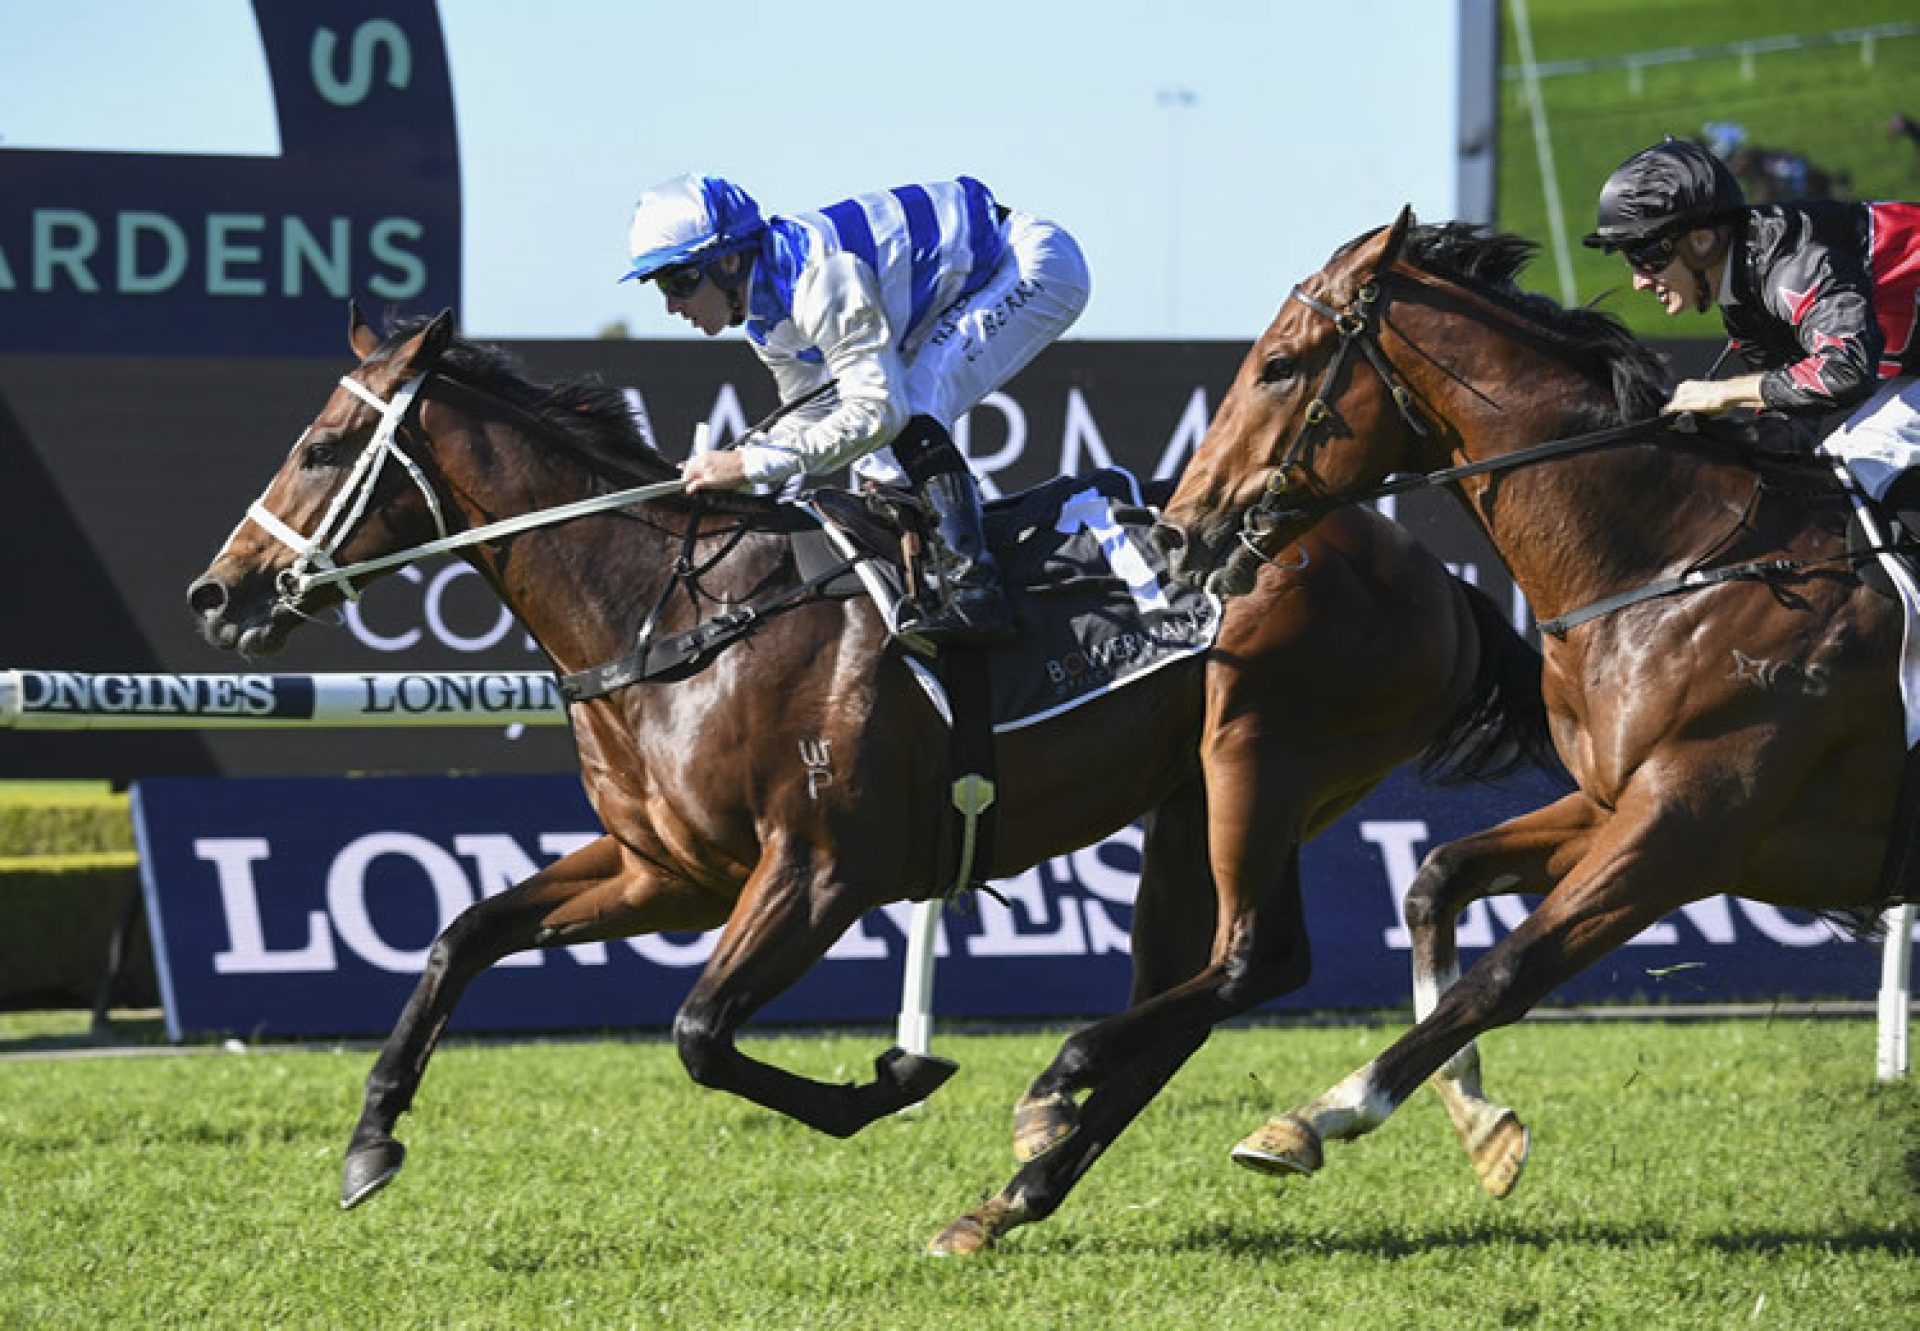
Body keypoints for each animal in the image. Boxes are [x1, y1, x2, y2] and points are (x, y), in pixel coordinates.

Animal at [187, 305, 1551, 1252]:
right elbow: (462, 932)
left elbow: (699, 1032)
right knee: (1193, 988)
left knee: (1258, 956)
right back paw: (1018, 1187)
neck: (675, 614)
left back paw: (1061, 1096)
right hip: (1183, 803)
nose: (217, 590)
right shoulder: (665, 868)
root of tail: (1435, 576)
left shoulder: (820, 869)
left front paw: (893, 1077)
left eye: (323, 446)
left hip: (1257, 756)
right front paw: (370, 1140)